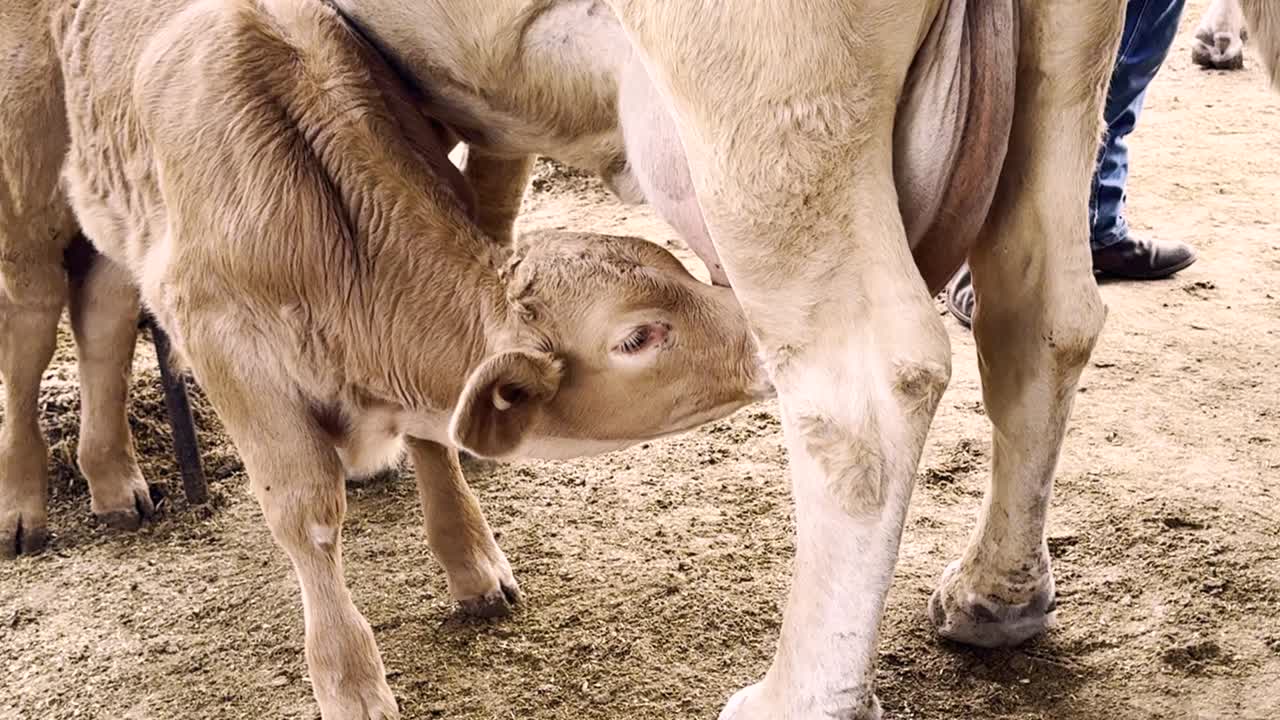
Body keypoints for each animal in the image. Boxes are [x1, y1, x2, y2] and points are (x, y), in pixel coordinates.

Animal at [0, 0, 774, 713]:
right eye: (638, 336)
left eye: (674, 267)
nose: (765, 334)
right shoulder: (225, 346)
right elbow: (306, 514)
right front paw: (350, 683)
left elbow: (436, 440)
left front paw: (473, 567)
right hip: (25, 194)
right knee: (33, 321)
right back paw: (22, 510)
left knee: (102, 311)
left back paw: (113, 482)